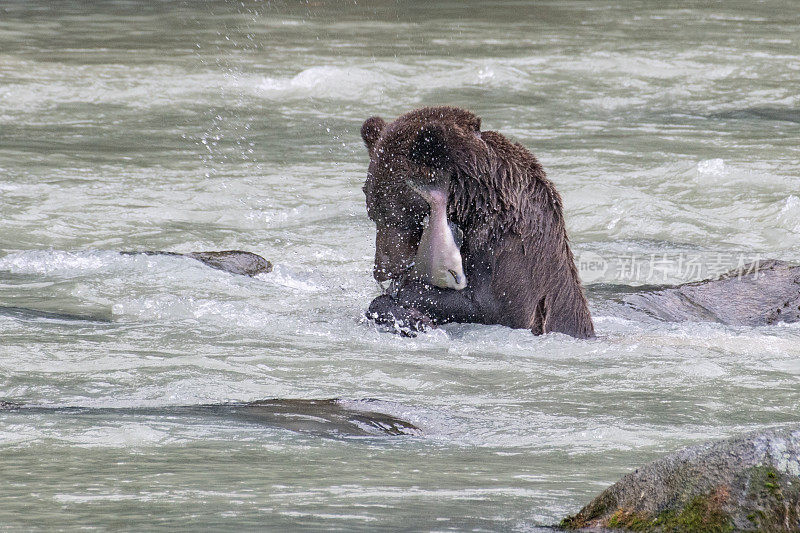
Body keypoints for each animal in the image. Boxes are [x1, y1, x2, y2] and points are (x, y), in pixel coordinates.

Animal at [362, 105, 592, 336]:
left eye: (398, 216)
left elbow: (492, 307)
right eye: (374, 214)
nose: (382, 270)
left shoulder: (509, 251)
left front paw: (408, 304)